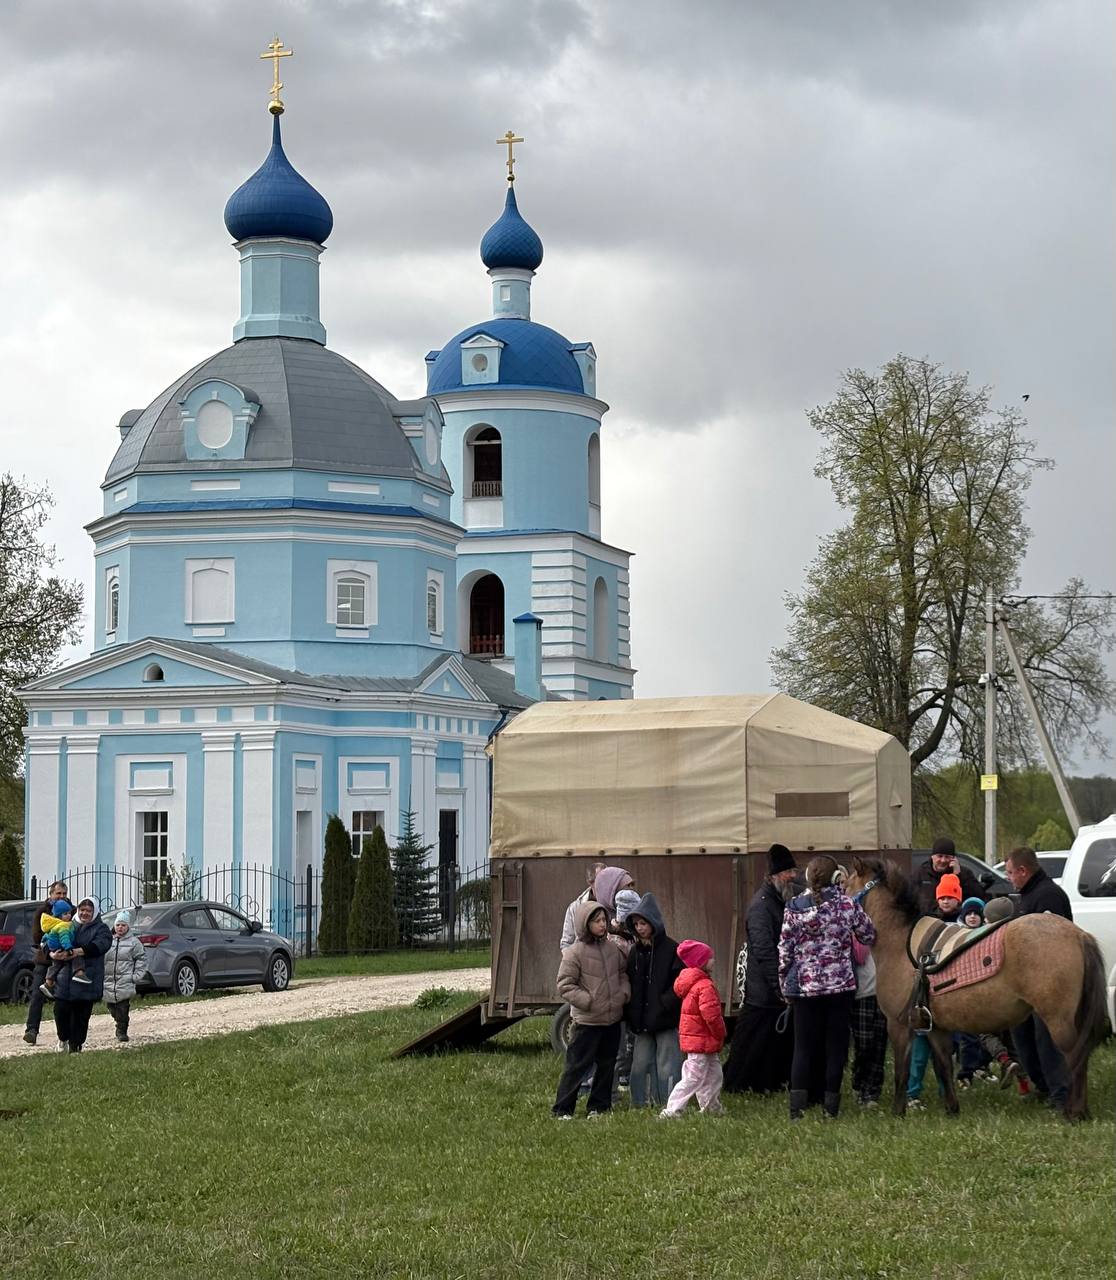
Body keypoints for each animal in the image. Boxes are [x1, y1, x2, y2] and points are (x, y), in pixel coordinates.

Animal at [845, 856, 1108, 1122]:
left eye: (845, 886)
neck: (899, 943)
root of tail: (1078, 934)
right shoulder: (936, 1028)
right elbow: (944, 1066)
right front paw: (952, 1109)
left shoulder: (899, 1024)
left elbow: (902, 1072)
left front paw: (897, 1112)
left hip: (1058, 1020)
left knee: (1074, 1058)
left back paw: (1075, 1112)